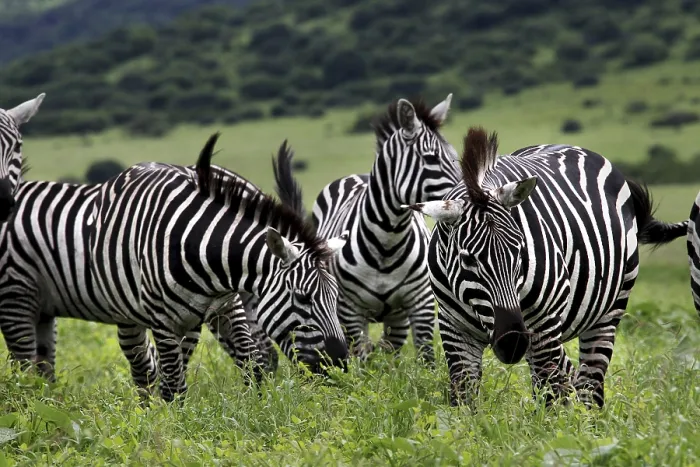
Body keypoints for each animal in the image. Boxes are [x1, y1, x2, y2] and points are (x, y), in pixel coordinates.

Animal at [86, 133, 349, 401]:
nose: (340, 365)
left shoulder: (223, 306)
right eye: (303, 298)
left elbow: (249, 363)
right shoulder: (163, 317)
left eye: (336, 296)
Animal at [307, 95, 461, 362]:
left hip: (396, 317)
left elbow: (426, 357)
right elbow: (359, 360)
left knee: (392, 352)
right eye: (431, 158)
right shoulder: (349, 310)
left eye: (455, 155)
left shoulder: (421, 303)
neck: (387, 241)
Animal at [406, 127, 687, 407]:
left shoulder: (542, 323)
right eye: (467, 259)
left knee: (589, 385)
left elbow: (550, 399)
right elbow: (463, 399)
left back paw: (588, 417)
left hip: (608, 307)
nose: (512, 342)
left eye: (519, 250)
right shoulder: (454, 328)